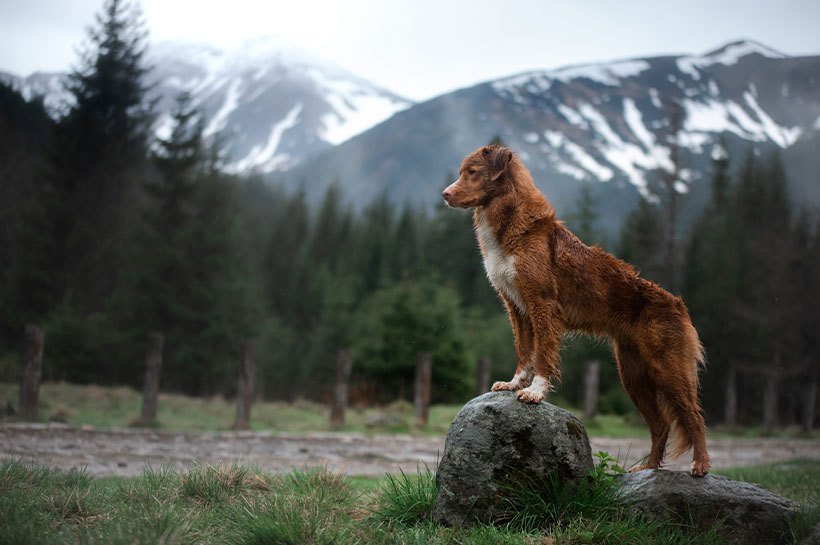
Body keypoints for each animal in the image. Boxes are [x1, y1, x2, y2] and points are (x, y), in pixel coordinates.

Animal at [442, 142, 712, 474]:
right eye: (461, 173)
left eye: (472, 172)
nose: (445, 194)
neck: (510, 222)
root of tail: (678, 305)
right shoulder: (516, 307)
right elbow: (524, 351)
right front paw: (514, 383)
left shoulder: (542, 304)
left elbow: (543, 353)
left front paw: (535, 391)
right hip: (632, 375)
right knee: (660, 425)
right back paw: (647, 469)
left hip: (668, 369)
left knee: (694, 416)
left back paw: (700, 465)